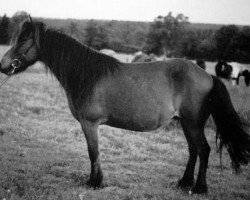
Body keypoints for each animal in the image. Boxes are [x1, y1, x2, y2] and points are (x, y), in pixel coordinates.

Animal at [0, 18, 250, 194]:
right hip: (186, 123)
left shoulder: (90, 124)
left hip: (194, 123)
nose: (3, 65)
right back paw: (183, 182)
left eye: (23, 40)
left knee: (204, 150)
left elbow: (93, 152)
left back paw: (199, 188)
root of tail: (208, 76)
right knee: (193, 150)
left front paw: (94, 182)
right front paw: (96, 181)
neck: (86, 74)